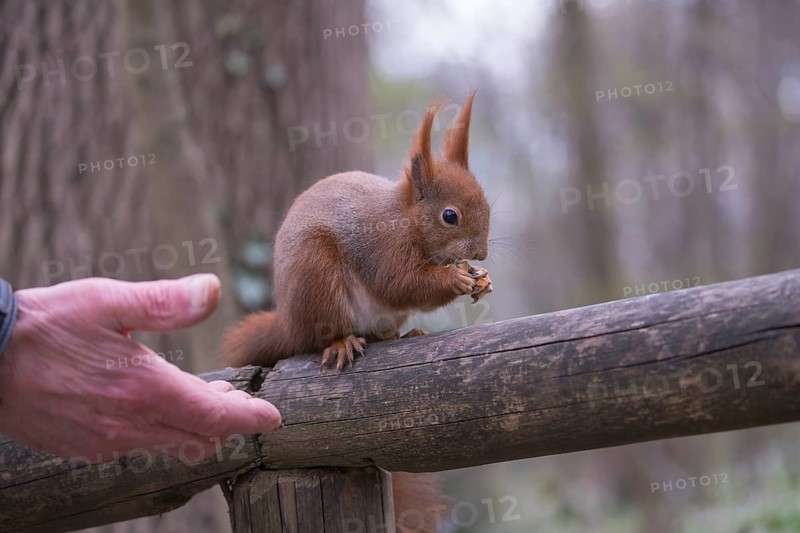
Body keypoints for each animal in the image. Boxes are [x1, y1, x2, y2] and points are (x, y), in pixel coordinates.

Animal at [222, 92, 490, 532]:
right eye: (449, 216)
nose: (481, 253)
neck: (405, 220)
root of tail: (290, 322)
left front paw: (479, 279)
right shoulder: (383, 249)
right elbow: (401, 284)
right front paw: (457, 278)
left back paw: (401, 336)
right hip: (318, 279)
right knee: (321, 336)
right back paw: (342, 342)